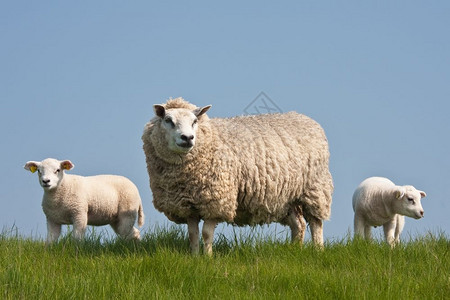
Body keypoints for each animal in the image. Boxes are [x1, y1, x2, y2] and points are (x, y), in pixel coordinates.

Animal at [142, 98, 332, 253]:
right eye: (168, 120)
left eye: (195, 121)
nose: (187, 138)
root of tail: (304, 118)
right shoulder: (188, 205)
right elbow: (193, 235)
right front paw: (195, 257)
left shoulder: (216, 201)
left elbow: (206, 234)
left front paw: (208, 258)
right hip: (286, 197)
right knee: (298, 224)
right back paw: (295, 250)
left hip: (315, 189)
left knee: (316, 223)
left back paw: (318, 250)